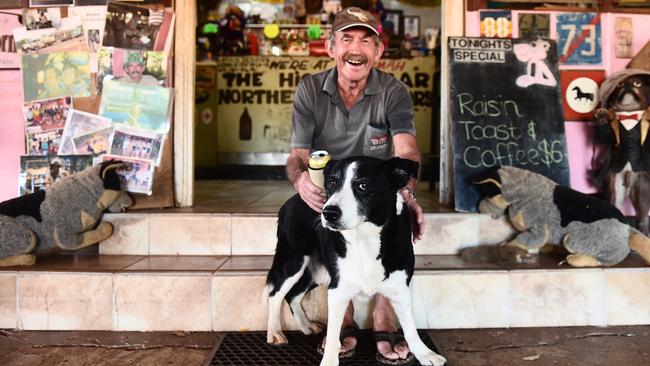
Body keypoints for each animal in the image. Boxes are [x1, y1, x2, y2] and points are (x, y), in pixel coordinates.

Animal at [264, 157, 446, 366]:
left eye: (363, 185)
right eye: (332, 183)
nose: (328, 213)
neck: (365, 237)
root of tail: (290, 201)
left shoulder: (400, 287)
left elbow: (410, 327)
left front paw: (424, 353)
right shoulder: (337, 289)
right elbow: (333, 336)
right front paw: (329, 360)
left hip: (316, 272)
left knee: (293, 295)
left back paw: (306, 326)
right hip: (293, 262)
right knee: (275, 295)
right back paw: (274, 332)